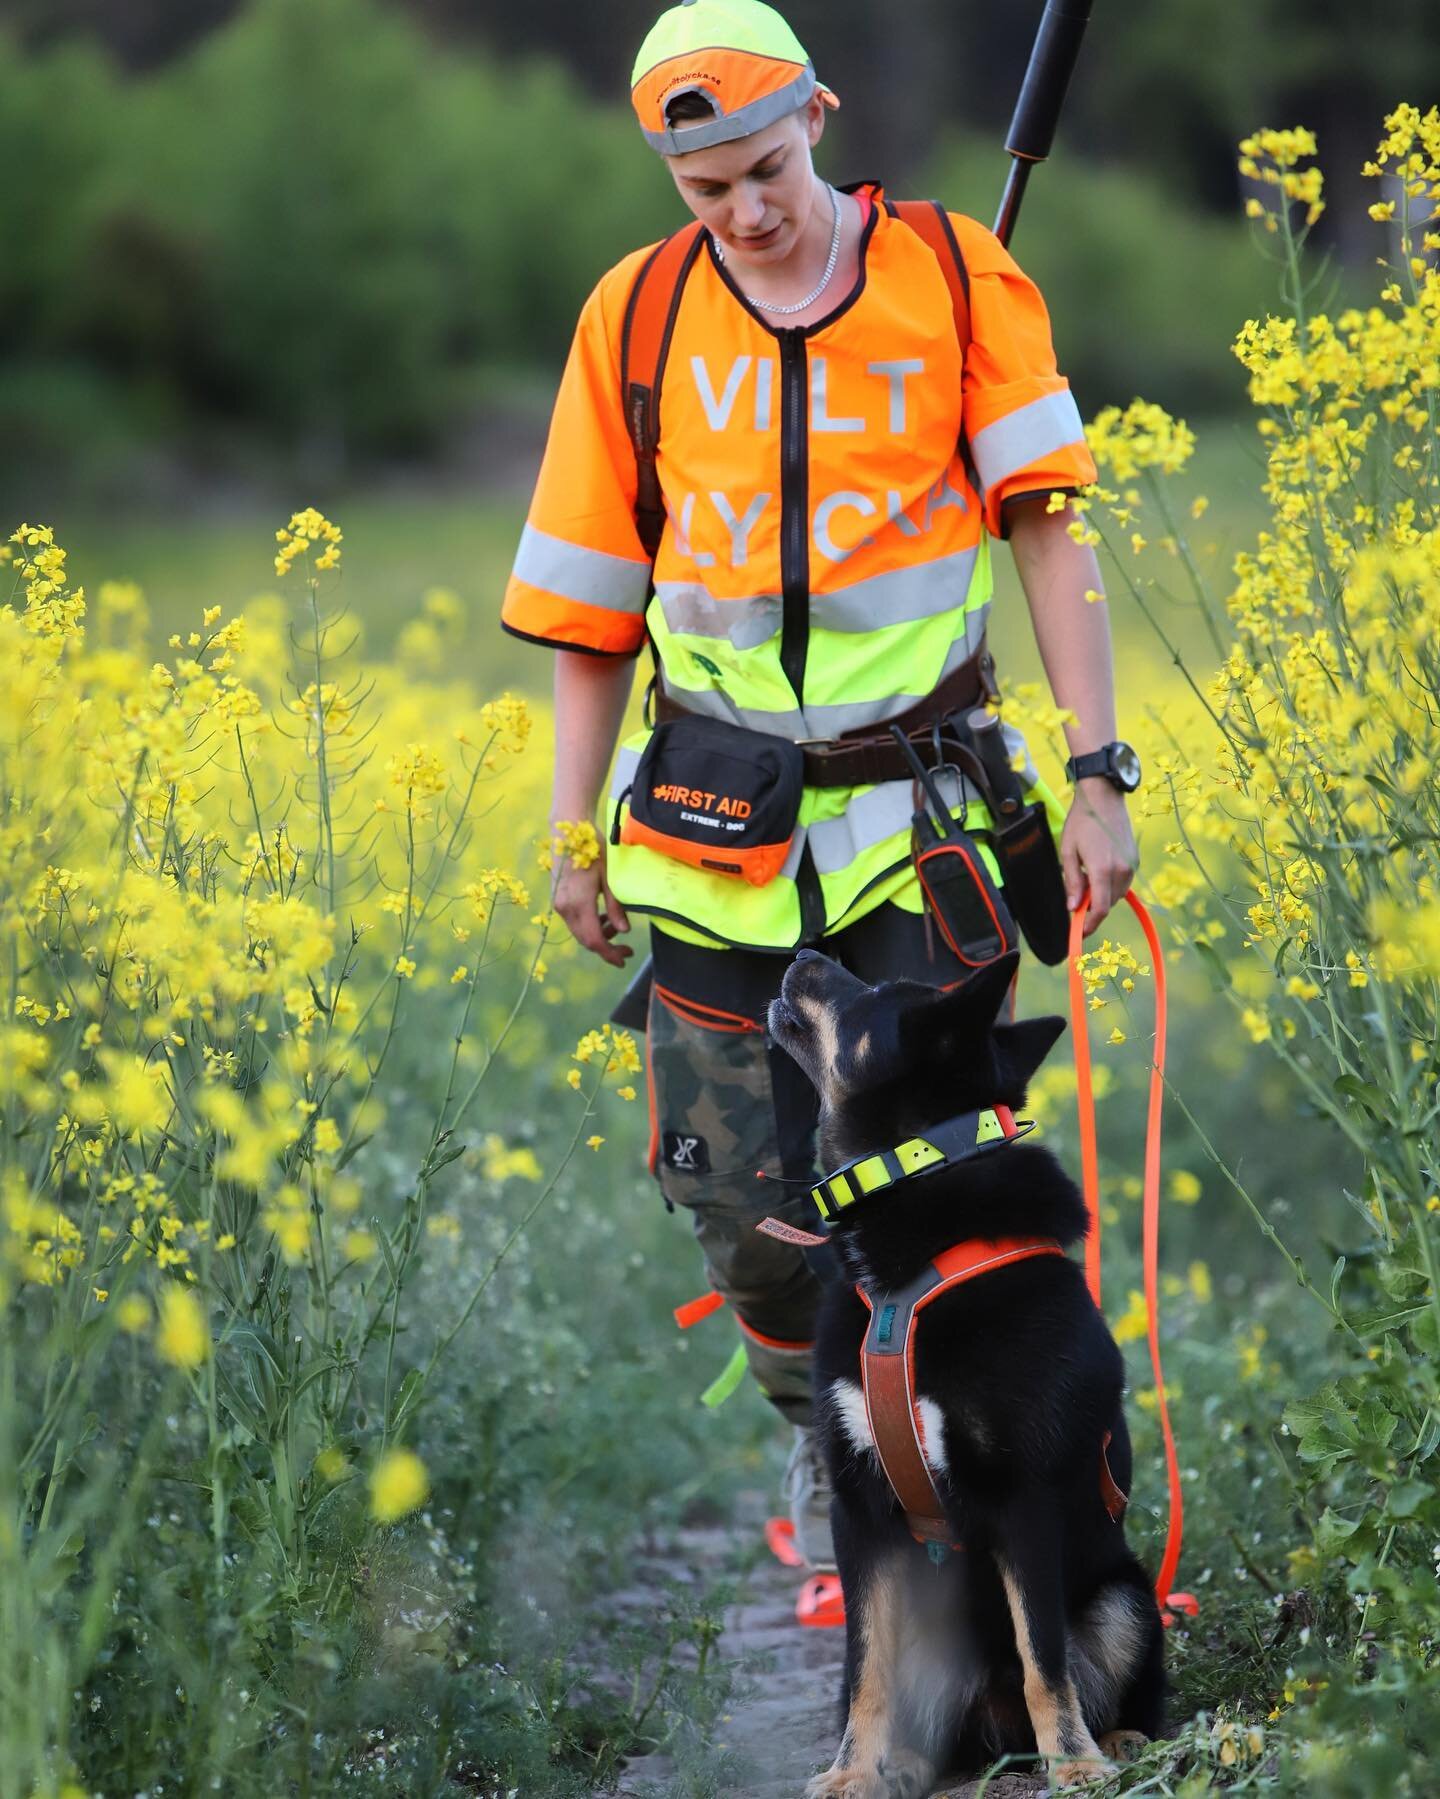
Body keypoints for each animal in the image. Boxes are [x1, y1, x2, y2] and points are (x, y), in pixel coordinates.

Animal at [770, 949, 1166, 1791]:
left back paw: (1116, 1741)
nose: (803, 955)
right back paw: (906, 1764)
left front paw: (1074, 1764)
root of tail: (993, 1734)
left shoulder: (1024, 1498)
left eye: (875, 993)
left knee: (1115, 1685)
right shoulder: (860, 1509)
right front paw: (850, 1774)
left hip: (1125, 1597)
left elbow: (1044, 1657)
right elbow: (864, 1669)